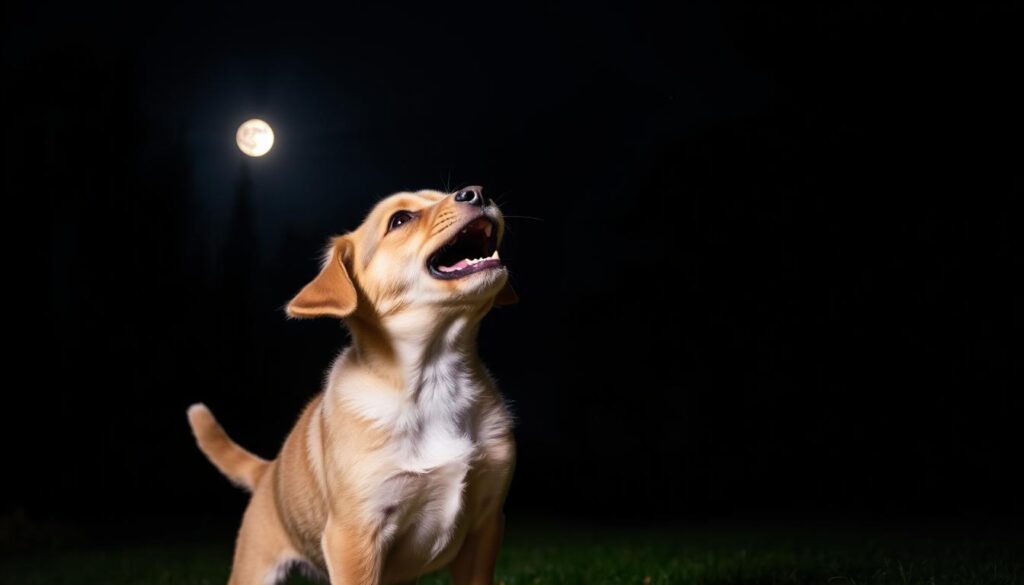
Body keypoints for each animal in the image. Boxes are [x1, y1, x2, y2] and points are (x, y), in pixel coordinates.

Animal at [187, 187, 516, 585]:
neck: (435, 378)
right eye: (401, 219)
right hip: (255, 570)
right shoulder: (355, 538)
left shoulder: (485, 527)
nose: (476, 192)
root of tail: (269, 472)